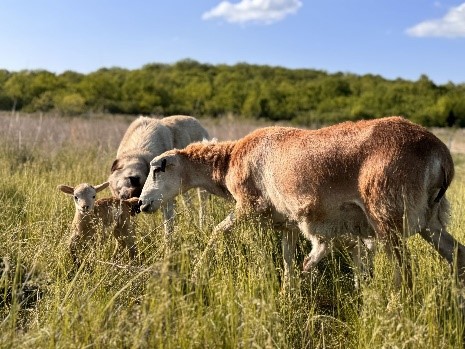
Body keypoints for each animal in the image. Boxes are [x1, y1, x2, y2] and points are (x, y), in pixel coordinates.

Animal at [137, 115, 464, 286]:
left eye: (158, 168)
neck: (228, 163)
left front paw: (197, 270)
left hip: (388, 216)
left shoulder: (249, 206)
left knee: (405, 274)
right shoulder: (287, 223)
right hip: (430, 219)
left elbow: (217, 231)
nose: (140, 204)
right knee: (457, 254)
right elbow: (287, 259)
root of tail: (440, 154)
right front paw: (287, 292)